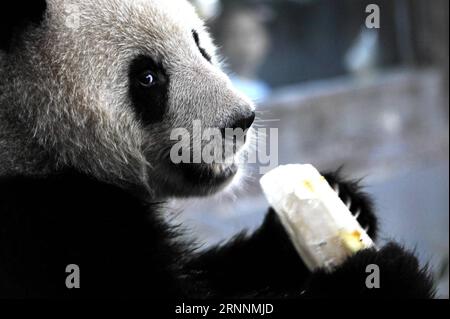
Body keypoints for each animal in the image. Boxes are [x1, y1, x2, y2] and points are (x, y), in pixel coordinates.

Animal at [0, 0, 434, 300]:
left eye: (198, 43)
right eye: (147, 77)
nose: (242, 120)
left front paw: (342, 200)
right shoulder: (54, 231)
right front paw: (384, 276)